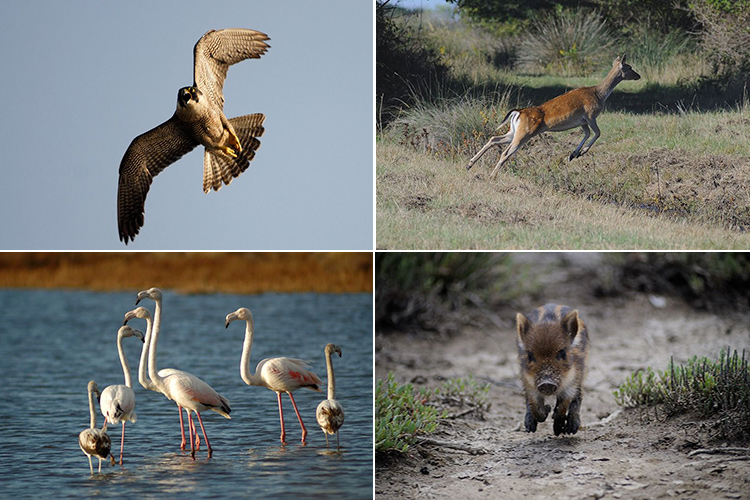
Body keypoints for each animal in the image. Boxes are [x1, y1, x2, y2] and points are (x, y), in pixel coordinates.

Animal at [468, 54, 644, 179]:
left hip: (513, 131)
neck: (599, 94)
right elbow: (597, 133)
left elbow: (587, 133)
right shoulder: (590, 115)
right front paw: (579, 153)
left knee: (494, 139)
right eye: (629, 67)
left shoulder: (582, 121)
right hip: (524, 133)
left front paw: (574, 154)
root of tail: (518, 112)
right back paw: (491, 176)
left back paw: (469, 165)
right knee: (505, 152)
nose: (639, 75)